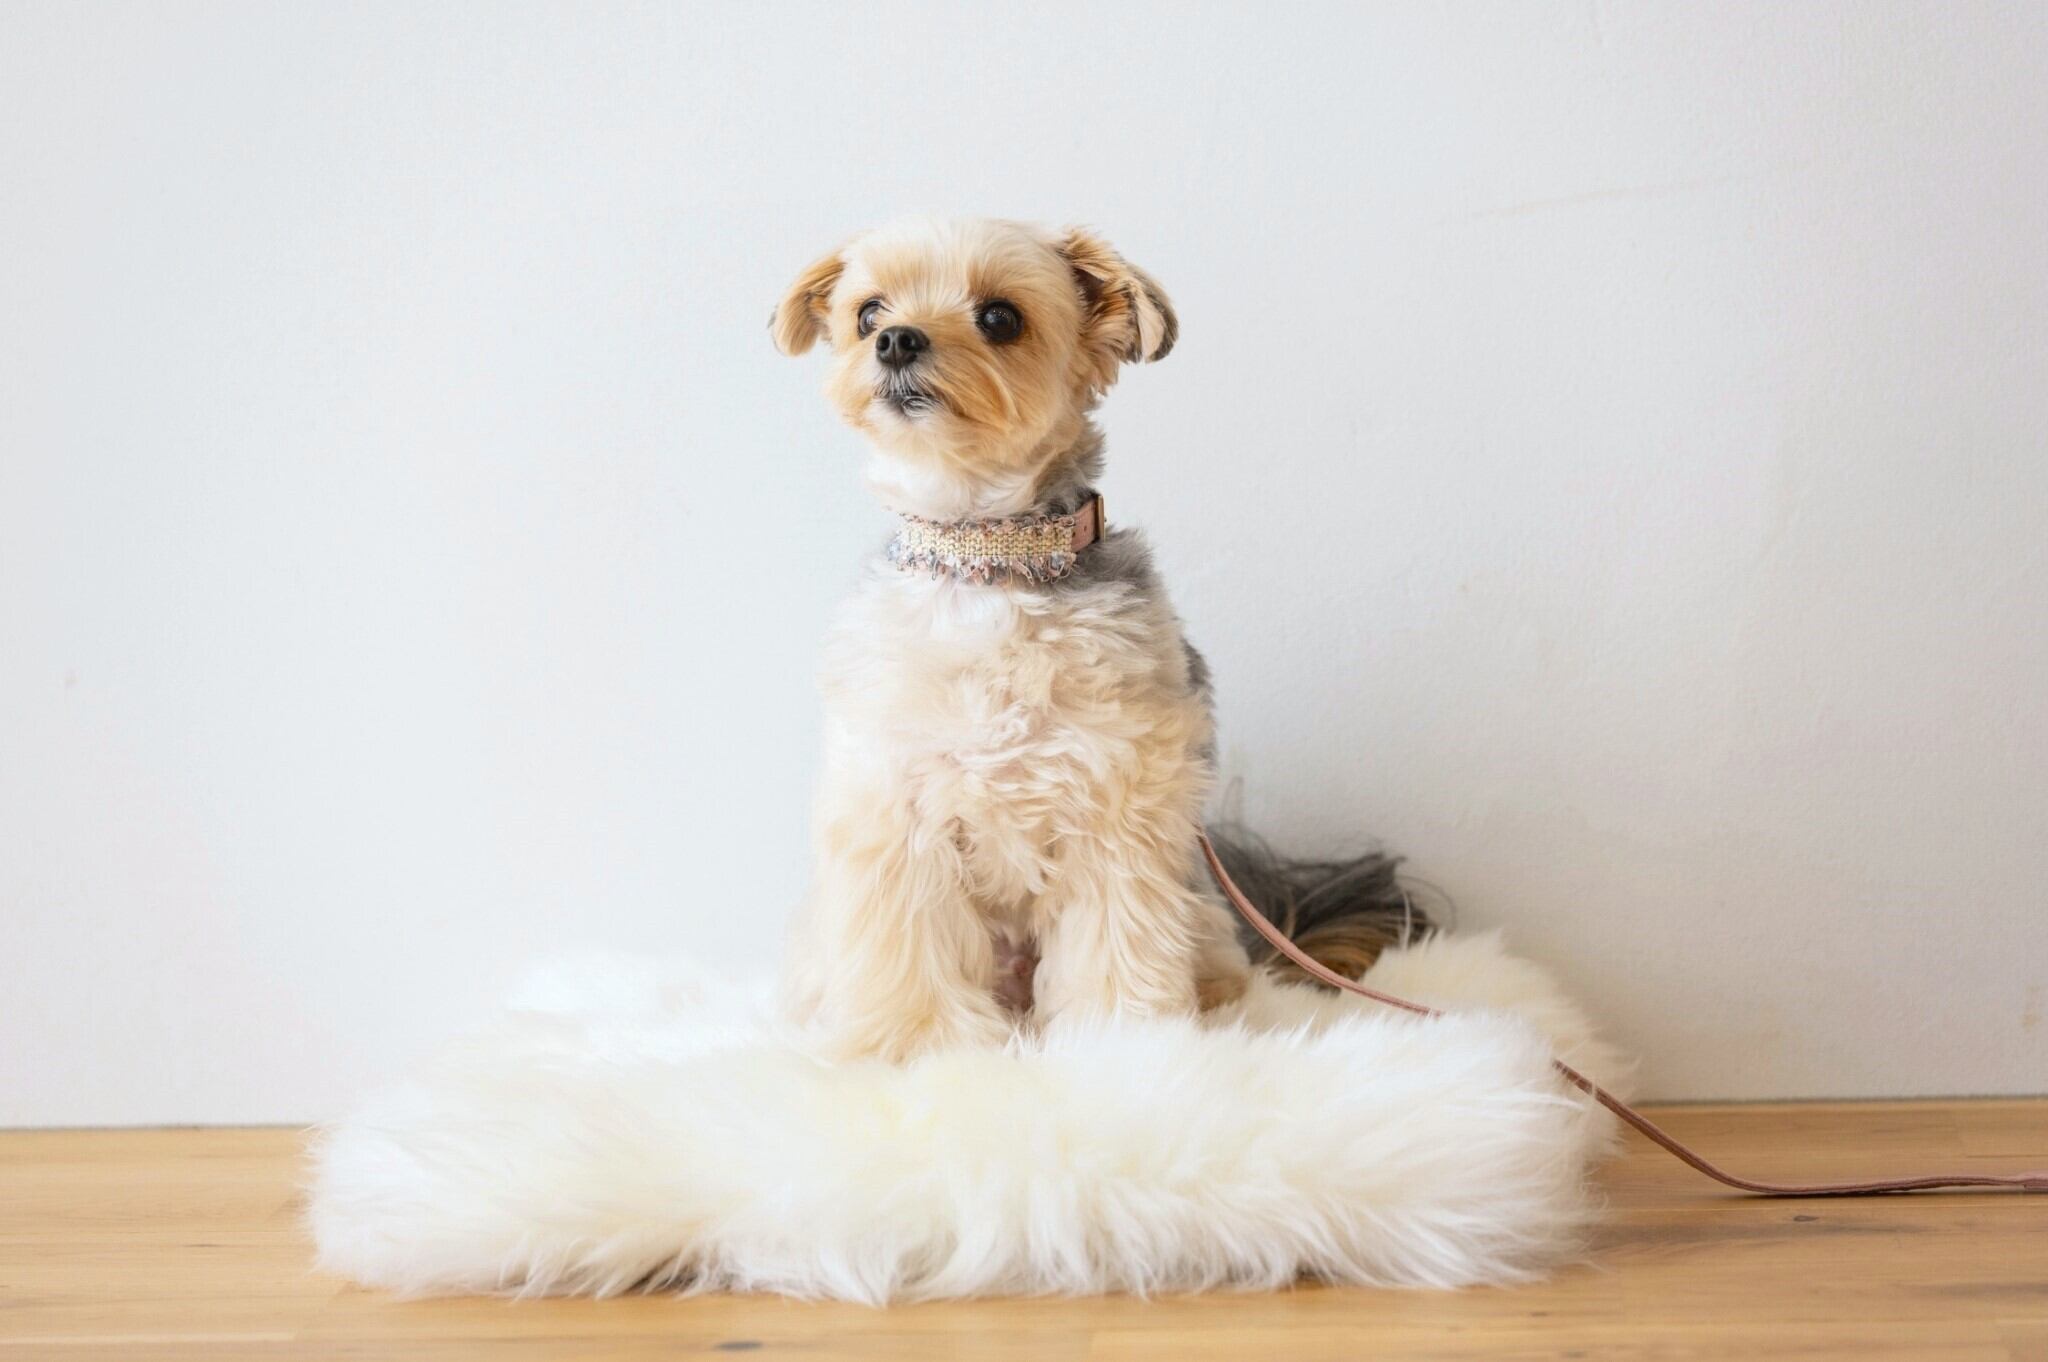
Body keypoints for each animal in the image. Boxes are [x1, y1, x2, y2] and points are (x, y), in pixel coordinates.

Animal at [772, 218, 1426, 1062]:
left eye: (1000, 318)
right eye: (867, 312)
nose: (895, 340)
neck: (988, 565)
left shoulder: (1118, 801)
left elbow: (1115, 941)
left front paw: (1119, 1050)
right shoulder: (895, 804)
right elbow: (909, 945)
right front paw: (920, 1047)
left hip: (1200, 903)